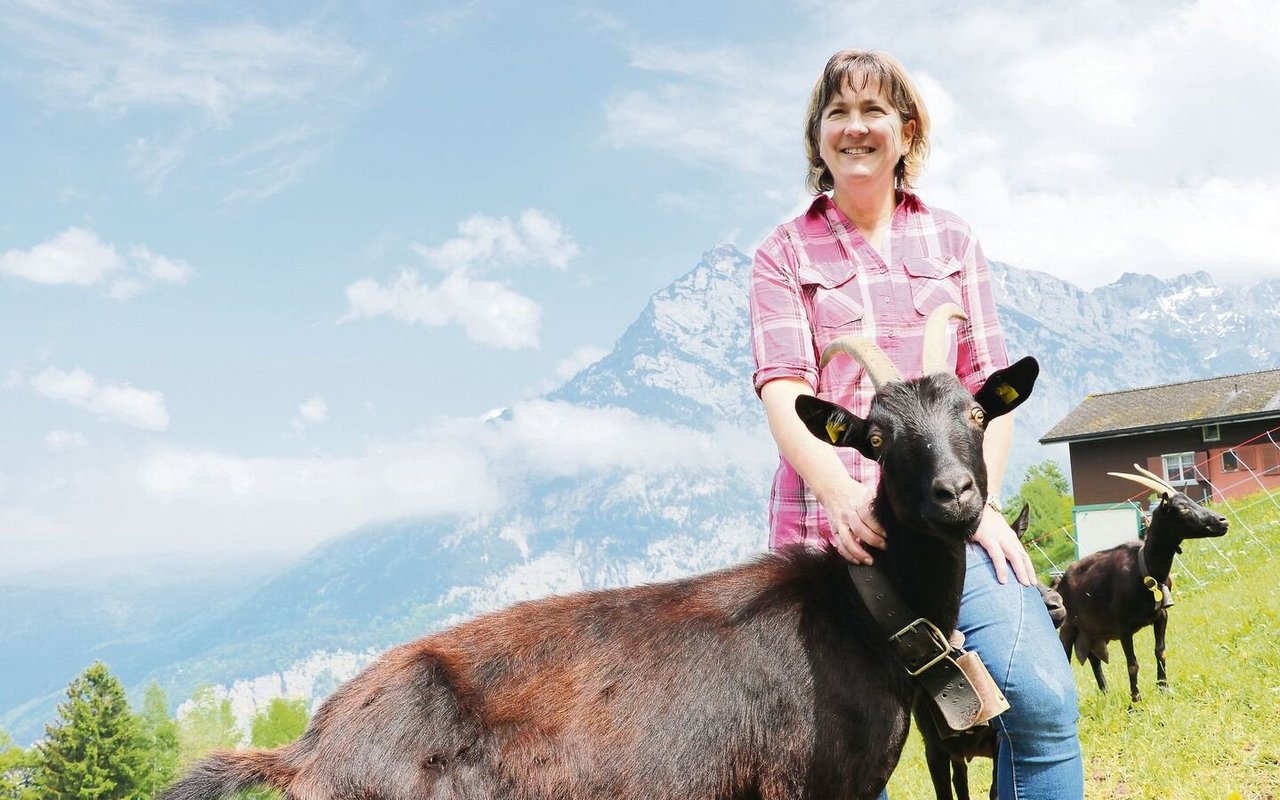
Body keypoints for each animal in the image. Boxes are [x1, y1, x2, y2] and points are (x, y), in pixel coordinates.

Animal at [1049, 465, 1228, 701]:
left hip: (1092, 632)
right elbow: (1132, 663)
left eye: (1192, 501)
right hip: (1069, 628)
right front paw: (1135, 700)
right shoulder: (1123, 626)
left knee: (1094, 660)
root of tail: (1058, 582)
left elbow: (1160, 650)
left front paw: (1164, 688)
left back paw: (1105, 693)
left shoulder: (1161, 616)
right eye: (1181, 509)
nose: (1222, 521)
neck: (1145, 570)